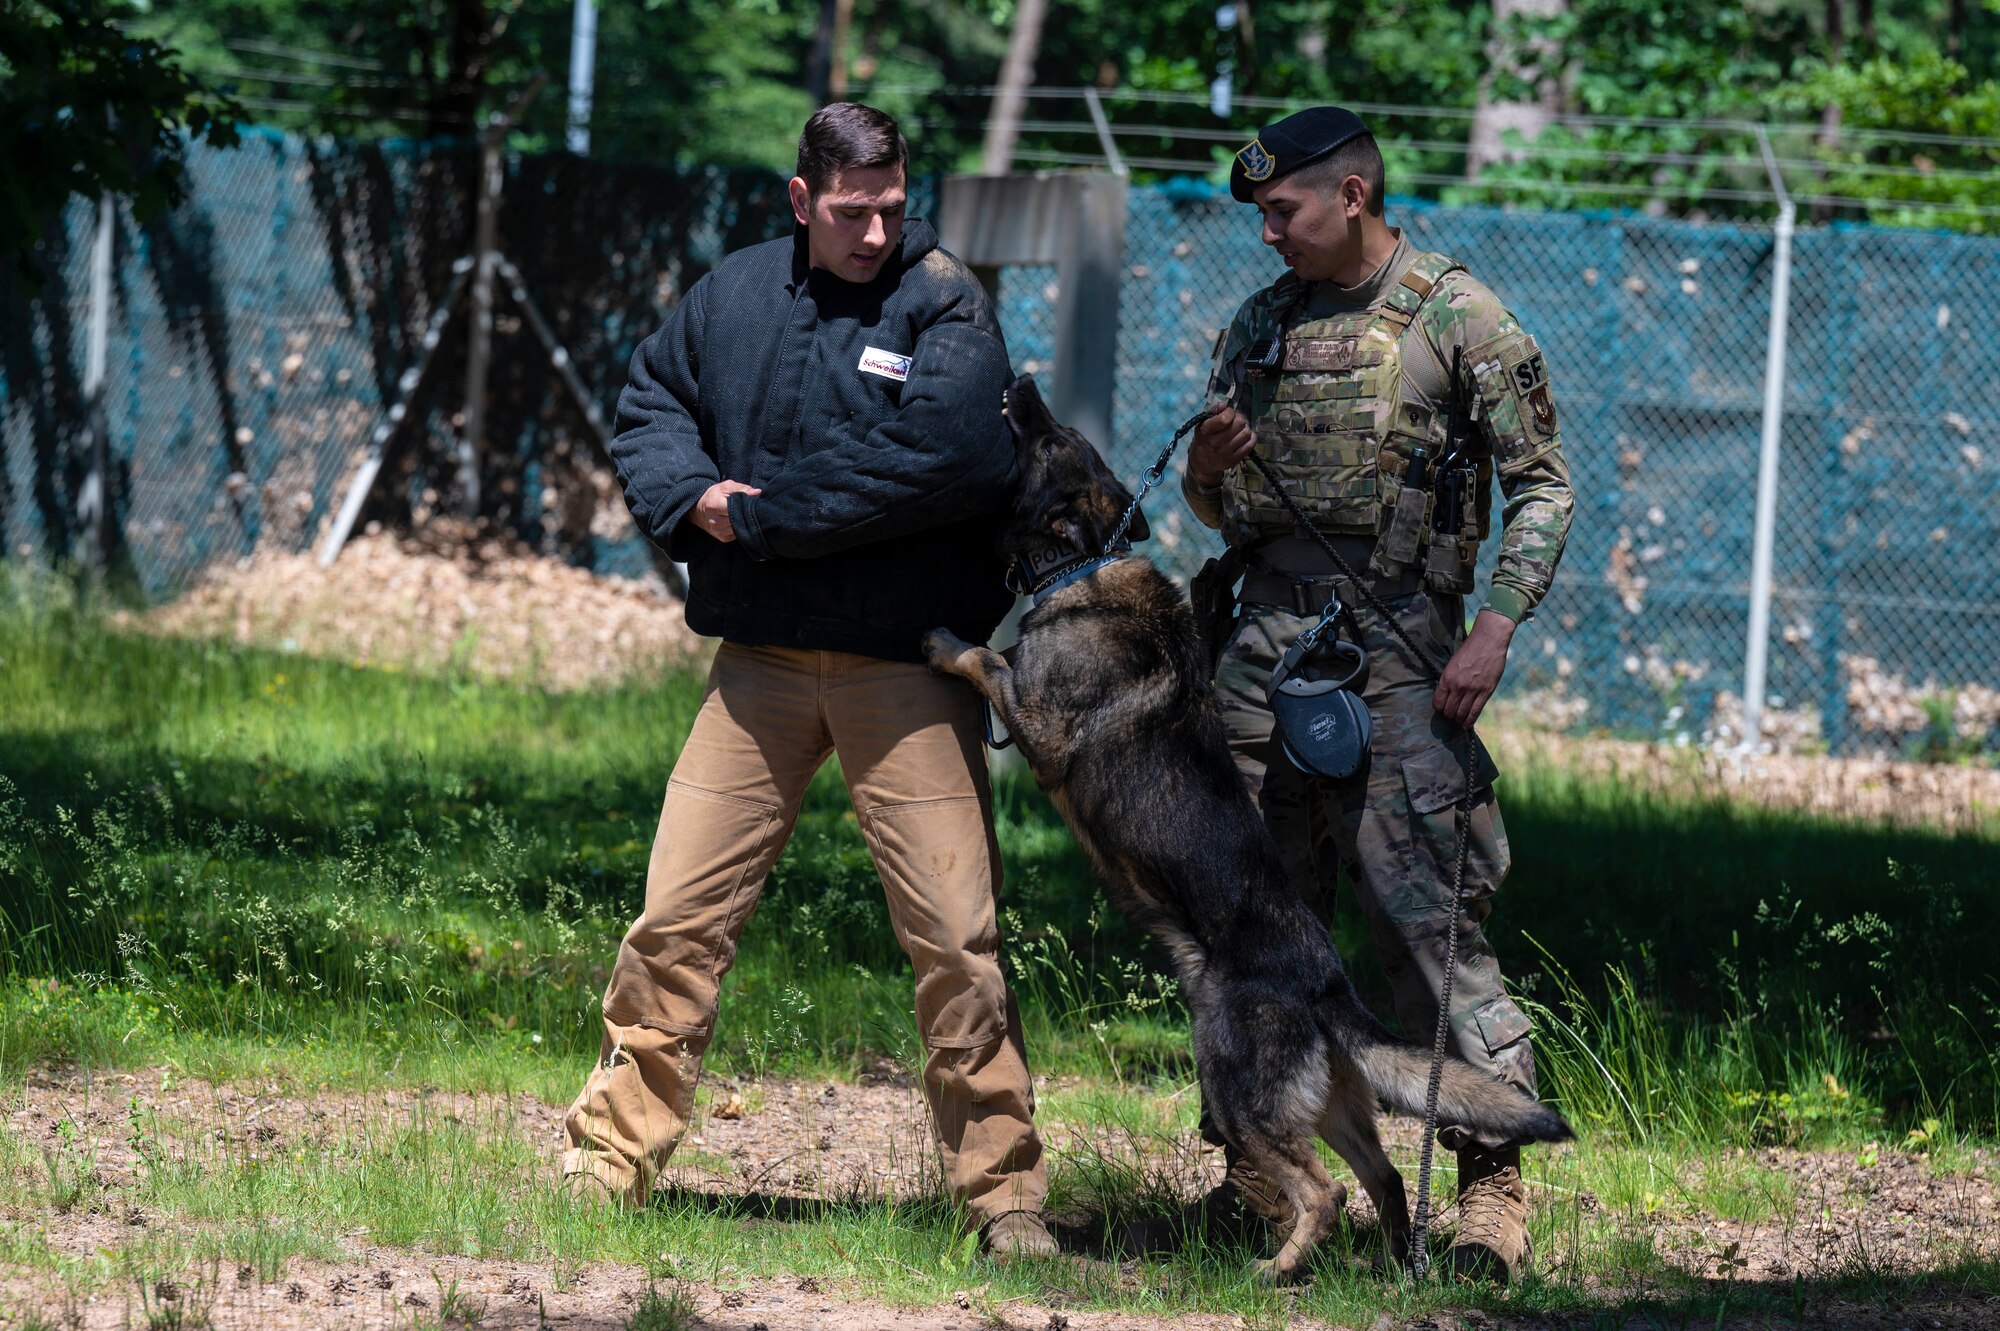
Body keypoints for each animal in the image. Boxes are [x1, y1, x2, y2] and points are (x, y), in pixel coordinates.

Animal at [924, 369, 1576, 1279]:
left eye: (1050, 439)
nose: (1019, 381)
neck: (1082, 563)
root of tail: (1328, 988)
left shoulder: (1041, 731)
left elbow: (985, 656)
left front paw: (943, 637)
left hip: (1235, 1087)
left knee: (1325, 1189)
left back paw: (1276, 1270)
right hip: (1328, 1106)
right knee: (1383, 1179)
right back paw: (1378, 1272)